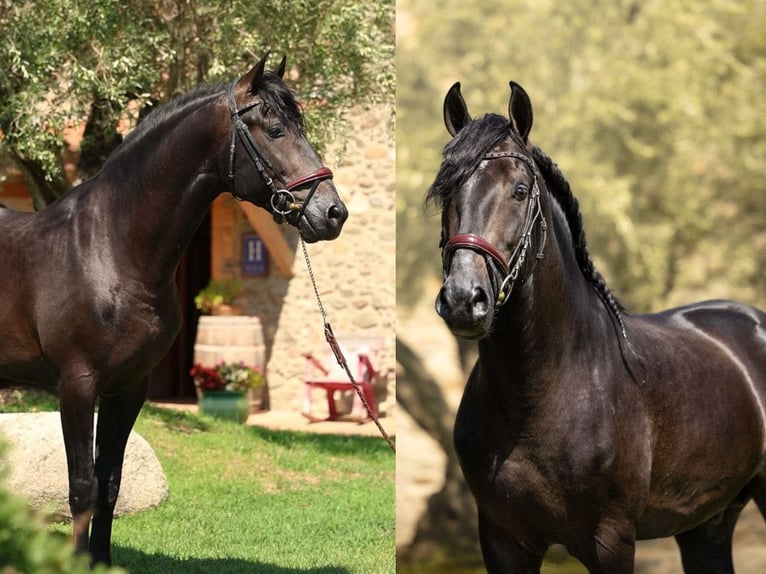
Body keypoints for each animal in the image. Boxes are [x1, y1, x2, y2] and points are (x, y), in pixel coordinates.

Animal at [0, 52, 347, 565]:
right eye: (275, 129)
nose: (332, 213)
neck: (110, 250)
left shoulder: (129, 387)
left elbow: (110, 484)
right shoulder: (77, 384)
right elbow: (82, 487)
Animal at [428, 80, 766, 573]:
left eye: (520, 190)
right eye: (446, 191)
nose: (462, 300)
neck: (541, 393)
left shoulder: (610, 542)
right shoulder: (502, 541)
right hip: (707, 523)